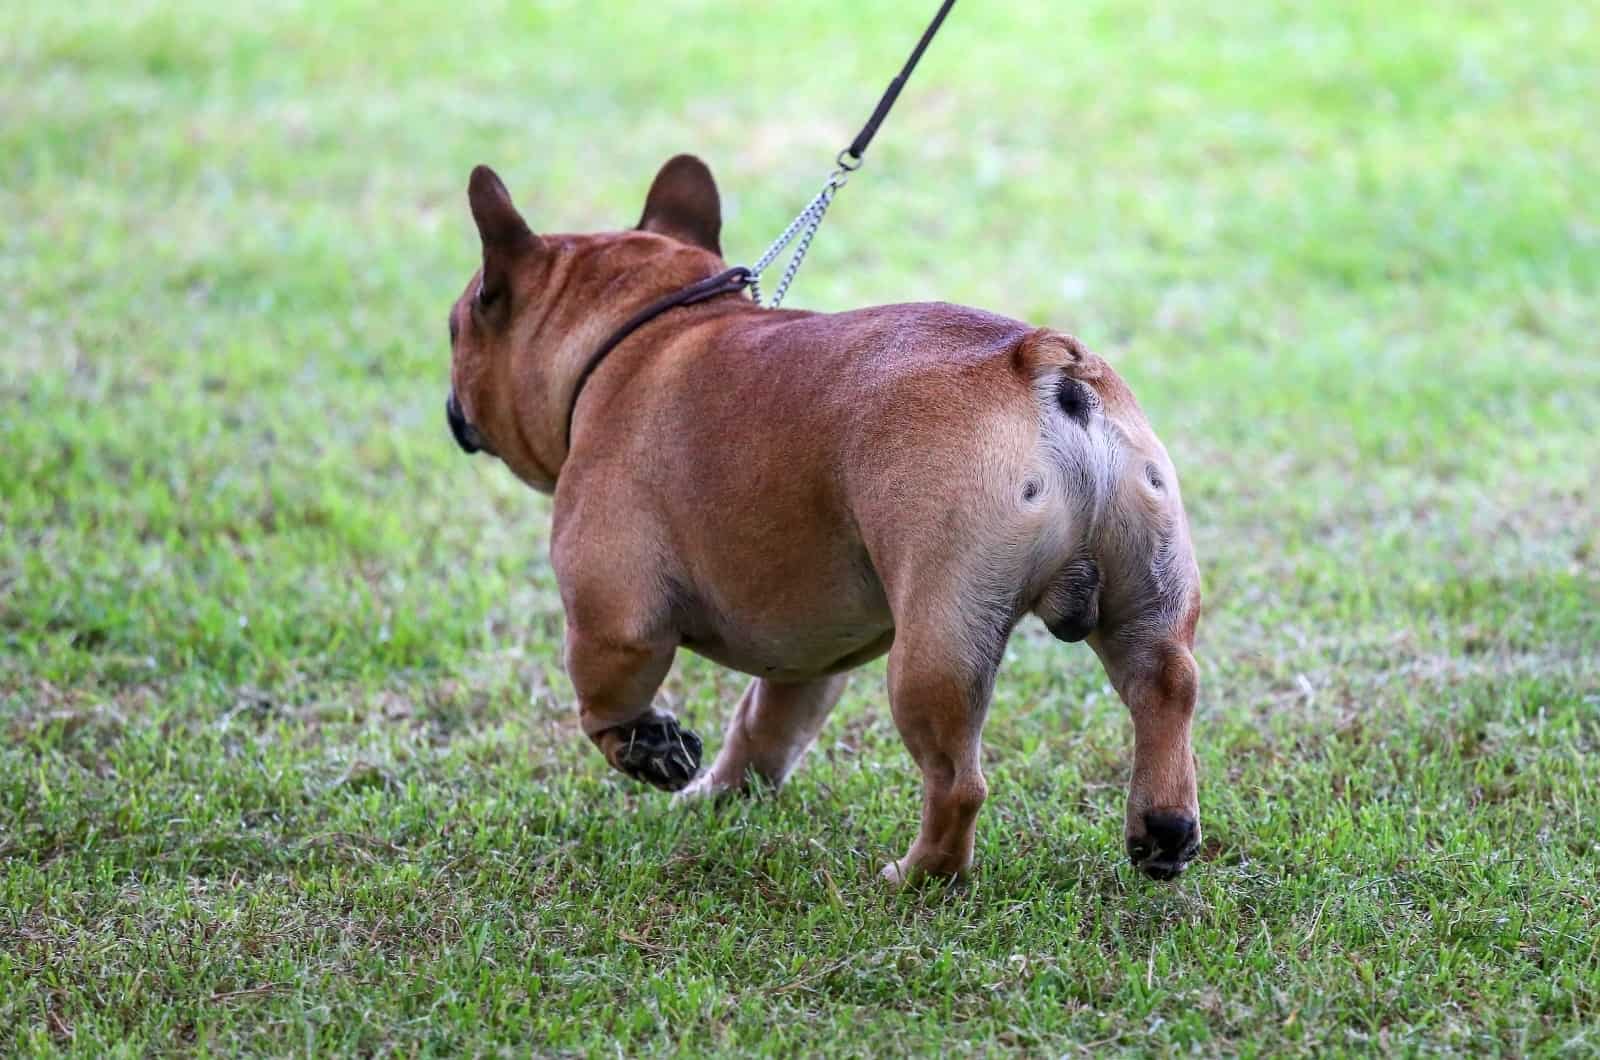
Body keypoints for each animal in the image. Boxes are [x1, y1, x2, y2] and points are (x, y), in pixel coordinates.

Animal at [448, 156, 1203, 877]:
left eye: (456, 328)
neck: (645, 327)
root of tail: (1041, 363)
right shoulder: (805, 658)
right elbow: (764, 726)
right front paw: (722, 793)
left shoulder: (612, 619)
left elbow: (604, 704)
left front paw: (650, 750)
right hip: (1149, 587)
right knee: (1165, 686)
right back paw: (1163, 831)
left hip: (941, 639)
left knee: (957, 781)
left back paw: (921, 875)